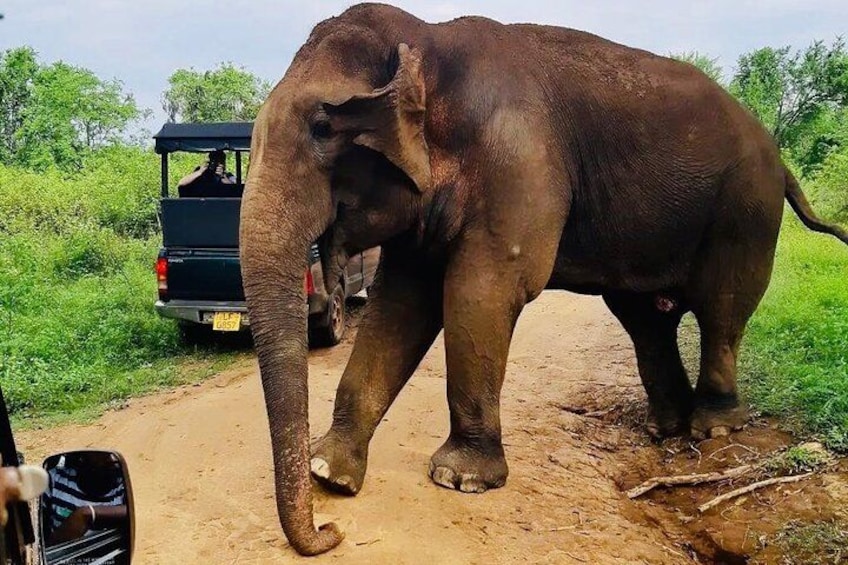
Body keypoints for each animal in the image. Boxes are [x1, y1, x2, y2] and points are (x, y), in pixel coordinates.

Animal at [238, 3, 848, 555]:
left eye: (323, 128)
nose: (330, 533)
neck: (428, 38)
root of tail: (781, 160)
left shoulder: (520, 161)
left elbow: (481, 292)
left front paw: (461, 479)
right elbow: (401, 304)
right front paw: (330, 473)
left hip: (746, 209)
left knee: (723, 308)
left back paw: (712, 428)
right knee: (645, 318)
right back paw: (665, 428)